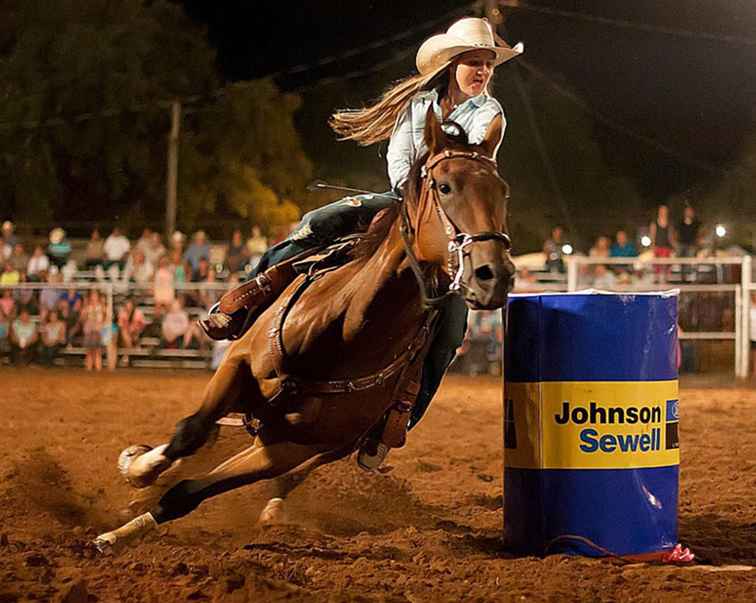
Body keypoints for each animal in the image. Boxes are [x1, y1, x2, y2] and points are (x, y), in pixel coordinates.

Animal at [94, 111, 512, 556]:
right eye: (445, 186)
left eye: (502, 192)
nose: (493, 274)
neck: (344, 331)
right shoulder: (237, 366)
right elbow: (189, 433)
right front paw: (137, 472)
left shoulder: (289, 448)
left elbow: (189, 492)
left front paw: (122, 529)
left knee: (289, 474)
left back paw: (273, 509)